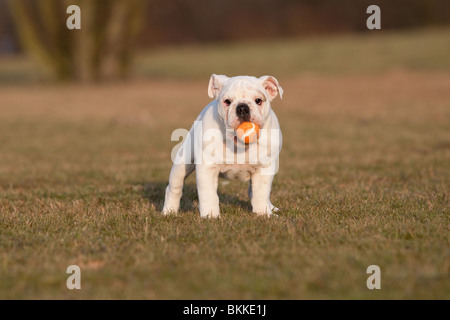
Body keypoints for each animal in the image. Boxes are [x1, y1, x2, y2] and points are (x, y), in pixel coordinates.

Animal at [162, 74, 284, 218]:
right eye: (227, 101)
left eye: (258, 100)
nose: (242, 108)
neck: (237, 143)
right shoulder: (207, 168)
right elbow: (208, 194)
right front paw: (210, 215)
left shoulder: (264, 169)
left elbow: (260, 193)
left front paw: (263, 213)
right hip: (182, 163)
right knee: (174, 187)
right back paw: (169, 211)